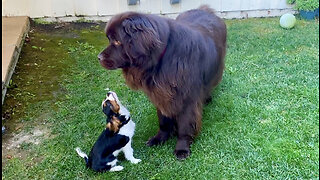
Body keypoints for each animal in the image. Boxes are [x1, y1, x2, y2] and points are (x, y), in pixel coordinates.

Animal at [99, 5, 226, 160]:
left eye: (117, 41)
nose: (98, 57)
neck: (161, 61)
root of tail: (205, 9)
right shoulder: (161, 94)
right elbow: (163, 120)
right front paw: (159, 138)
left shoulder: (187, 98)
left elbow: (185, 125)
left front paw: (182, 148)